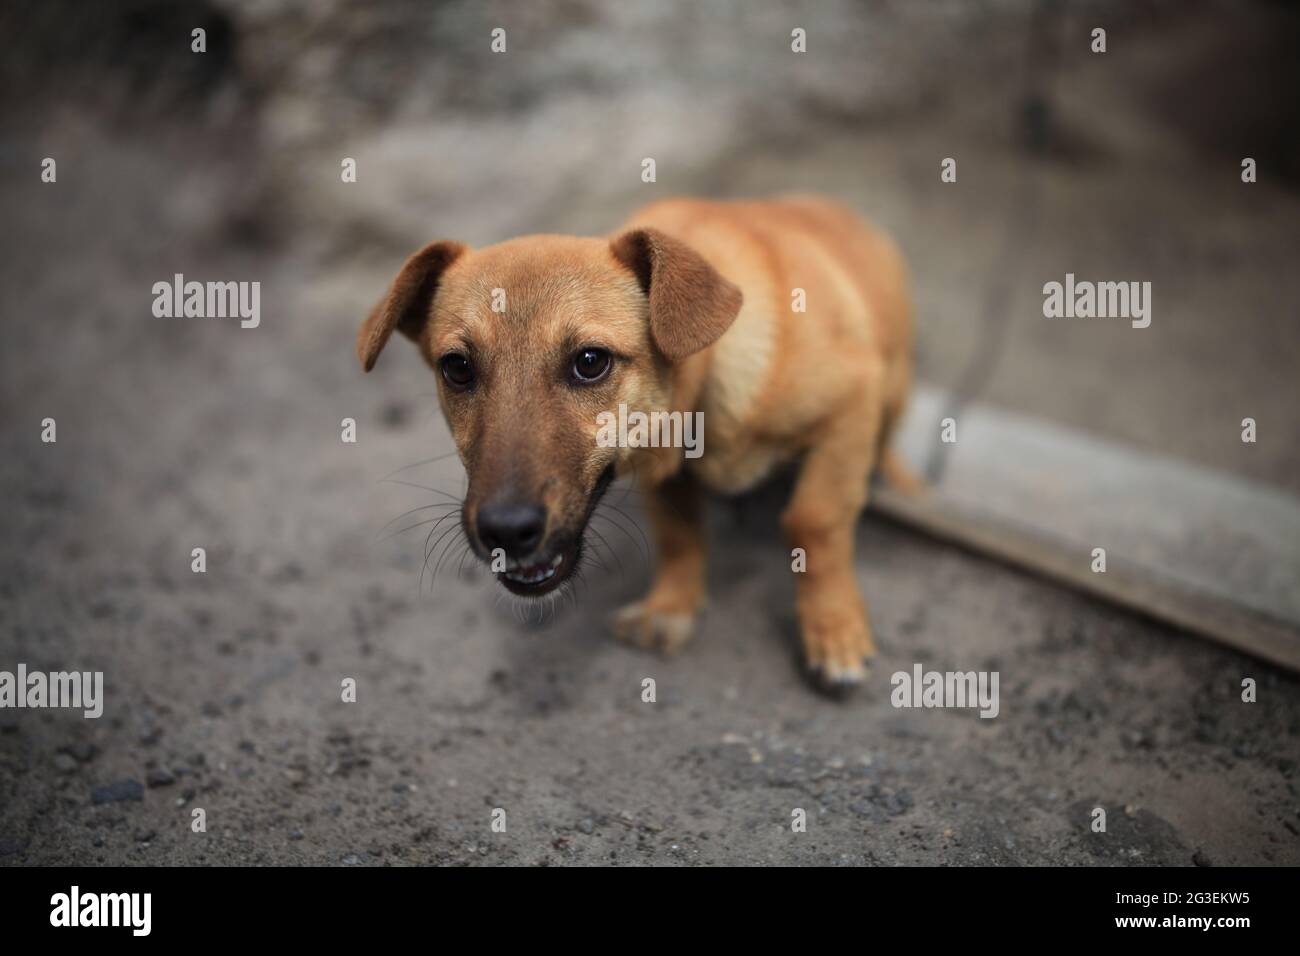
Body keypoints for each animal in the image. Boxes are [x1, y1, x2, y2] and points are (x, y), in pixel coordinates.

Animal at [358, 196, 915, 686]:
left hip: (892, 392)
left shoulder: (851, 407)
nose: (505, 532)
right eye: (456, 368)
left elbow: (813, 521)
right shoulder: (660, 471)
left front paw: (834, 632)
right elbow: (679, 533)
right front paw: (671, 607)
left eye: (590, 361)